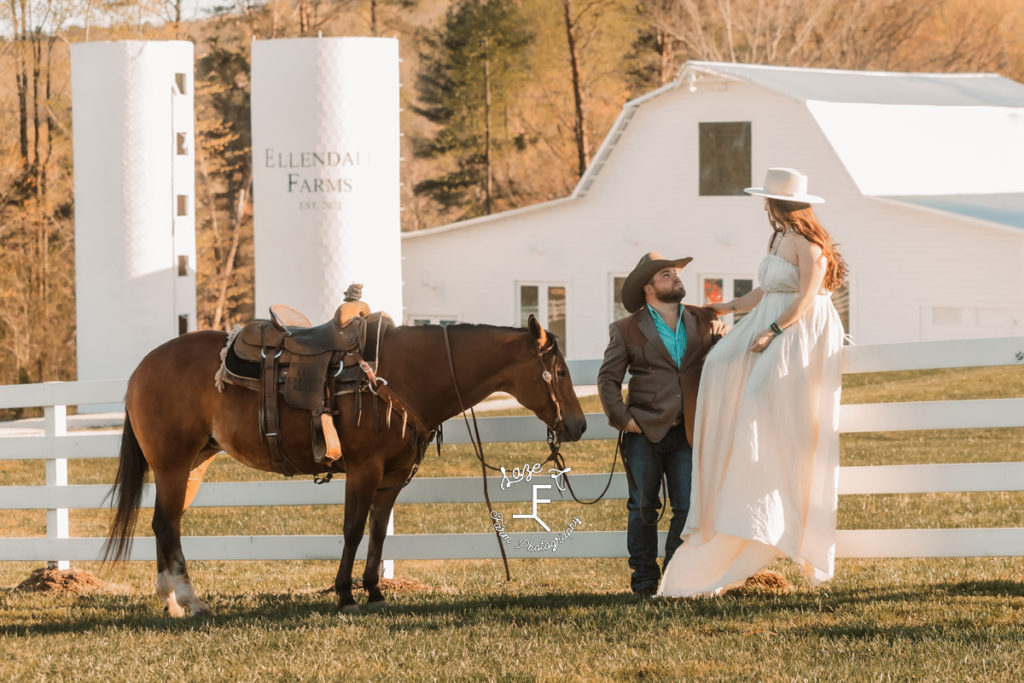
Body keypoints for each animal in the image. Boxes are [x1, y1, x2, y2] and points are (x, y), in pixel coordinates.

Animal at [105, 317, 585, 618]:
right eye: (559, 371)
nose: (578, 425)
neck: (399, 376)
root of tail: (142, 368)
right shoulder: (364, 469)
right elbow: (353, 530)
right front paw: (344, 595)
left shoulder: (392, 478)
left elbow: (378, 531)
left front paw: (373, 591)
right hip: (172, 464)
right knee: (168, 526)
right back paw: (191, 601)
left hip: (192, 465)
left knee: (163, 524)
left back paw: (171, 602)